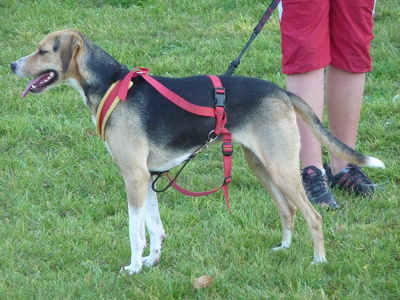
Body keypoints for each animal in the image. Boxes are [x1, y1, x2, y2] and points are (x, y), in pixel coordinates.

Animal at [9, 30, 384, 274]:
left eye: (43, 51)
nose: (12, 65)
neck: (113, 86)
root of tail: (281, 91)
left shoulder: (134, 177)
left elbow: (135, 232)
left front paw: (134, 268)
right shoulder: (149, 177)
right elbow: (154, 228)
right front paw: (153, 262)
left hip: (282, 168)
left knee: (313, 216)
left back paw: (319, 261)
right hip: (262, 167)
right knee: (288, 211)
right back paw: (284, 248)